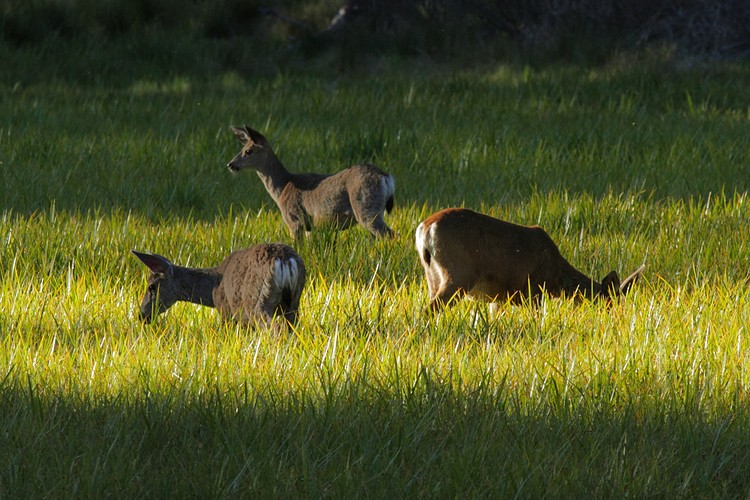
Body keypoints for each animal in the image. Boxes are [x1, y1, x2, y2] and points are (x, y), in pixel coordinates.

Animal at [131, 243, 306, 330]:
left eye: (151, 287)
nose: (141, 315)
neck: (213, 287)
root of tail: (284, 259)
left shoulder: (226, 310)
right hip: (294, 302)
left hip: (257, 301)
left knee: (275, 327)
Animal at [227, 126, 395, 239]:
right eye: (242, 148)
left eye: (249, 151)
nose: (230, 164)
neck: (282, 187)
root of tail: (386, 177)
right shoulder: (311, 227)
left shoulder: (295, 220)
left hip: (366, 206)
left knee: (389, 233)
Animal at [414, 208, 644, 312]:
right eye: (610, 304)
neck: (558, 278)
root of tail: (426, 228)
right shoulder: (533, 290)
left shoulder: (500, 298)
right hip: (459, 274)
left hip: (432, 276)